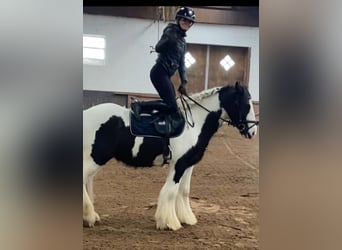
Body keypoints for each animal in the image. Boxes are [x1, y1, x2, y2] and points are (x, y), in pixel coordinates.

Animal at [83, 81, 258, 230]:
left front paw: (187, 218)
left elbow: (184, 191)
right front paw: (169, 222)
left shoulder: (188, 164)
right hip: (96, 158)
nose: (253, 131)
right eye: (246, 103)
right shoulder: (178, 165)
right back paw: (89, 217)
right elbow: (171, 192)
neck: (193, 124)